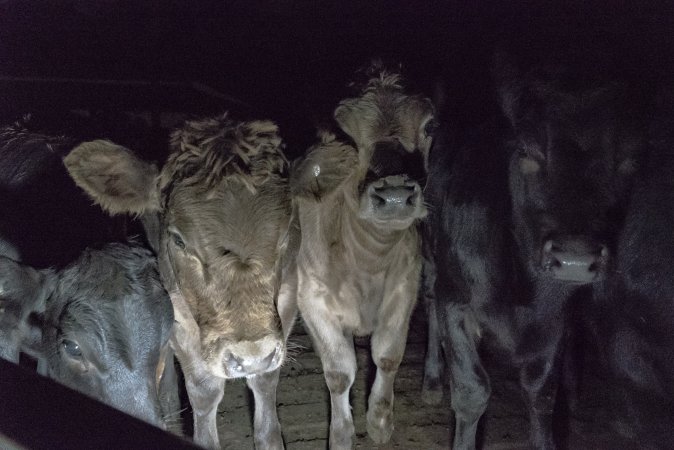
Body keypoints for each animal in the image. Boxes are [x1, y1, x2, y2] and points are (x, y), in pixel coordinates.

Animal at [64, 113, 296, 450]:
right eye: (178, 240)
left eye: (286, 233)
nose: (250, 356)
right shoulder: (174, 306)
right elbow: (204, 390)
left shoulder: (288, 296)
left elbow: (265, 381)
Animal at [290, 65, 436, 448]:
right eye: (344, 134)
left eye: (429, 126)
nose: (396, 195)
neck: (369, 260)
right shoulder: (312, 300)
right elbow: (340, 372)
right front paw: (341, 433)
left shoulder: (405, 288)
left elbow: (387, 356)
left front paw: (380, 422)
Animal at [420, 52, 644, 450]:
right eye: (527, 151)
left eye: (629, 159)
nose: (574, 258)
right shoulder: (455, 300)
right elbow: (472, 390)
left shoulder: (555, 319)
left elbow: (542, 392)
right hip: (433, 264)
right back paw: (431, 380)